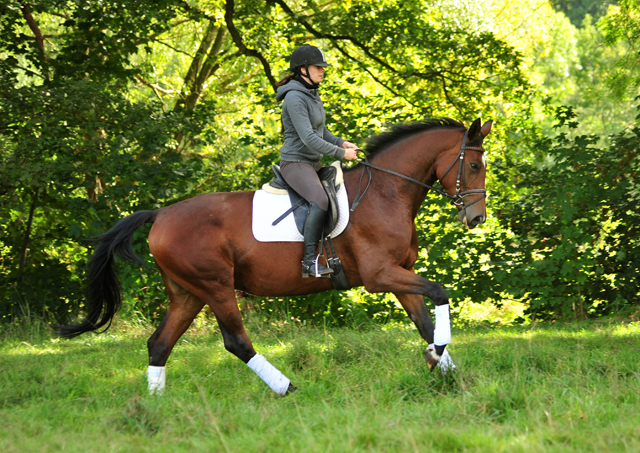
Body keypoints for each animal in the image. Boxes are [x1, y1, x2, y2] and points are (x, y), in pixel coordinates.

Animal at [57, 117, 492, 396]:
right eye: (473, 164)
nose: (477, 218)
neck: (387, 192)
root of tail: (161, 214)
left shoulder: (400, 272)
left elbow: (425, 321)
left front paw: (446, 370)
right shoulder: (380, 275)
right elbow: (440, 292)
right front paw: (438, 358)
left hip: (188, 293)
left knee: (159, 344)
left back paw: (156, 404)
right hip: (215, 286)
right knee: (236, 342)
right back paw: (287, 388)